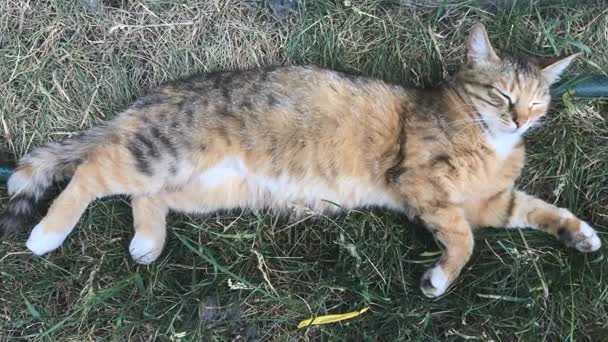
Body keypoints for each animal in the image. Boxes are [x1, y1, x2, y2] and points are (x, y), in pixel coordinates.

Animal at [0, 23, 600, 296]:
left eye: (538, 101)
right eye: (501, 95)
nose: (520, 120)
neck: (489, 142)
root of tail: (150, 99)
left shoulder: (490, 202)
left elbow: (534, 210)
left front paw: (580, 234)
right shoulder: (422, 184)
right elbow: (465, 240)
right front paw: (440, 277)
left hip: (204, 188)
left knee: (145, 196)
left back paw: (147, 241)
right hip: (163, 153)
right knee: (91, 169)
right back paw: (47, 234)